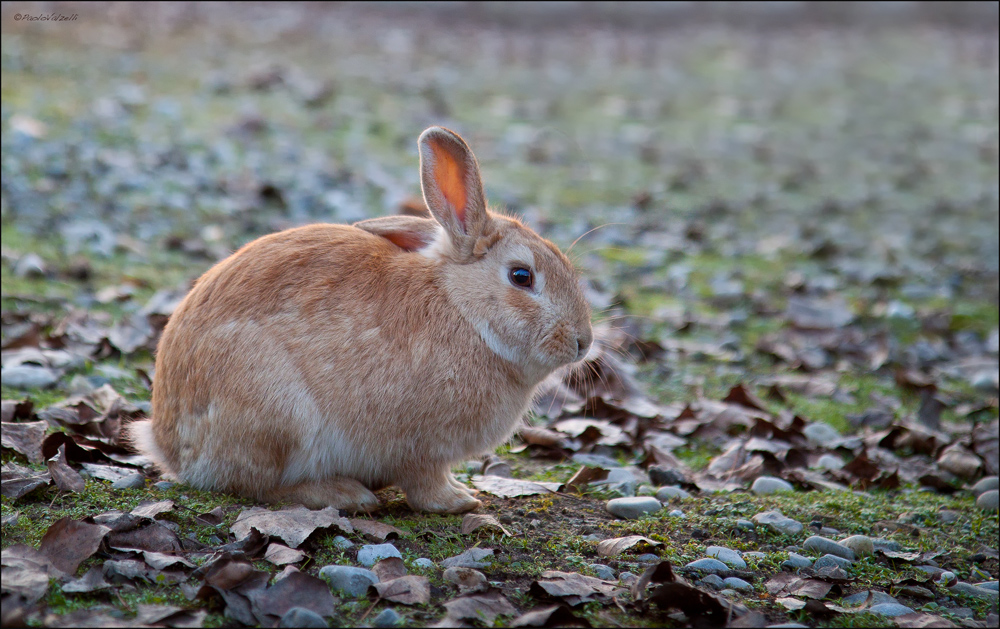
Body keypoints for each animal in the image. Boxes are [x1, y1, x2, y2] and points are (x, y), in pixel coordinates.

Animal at [127, 126, 593, 514]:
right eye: (521, 276)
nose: (583, 342)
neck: (463, 307)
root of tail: (168, 445)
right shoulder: (420, 448)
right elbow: (425, 484)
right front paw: (459, 502)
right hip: (277, 412)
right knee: (258, 485)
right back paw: (344, 494)